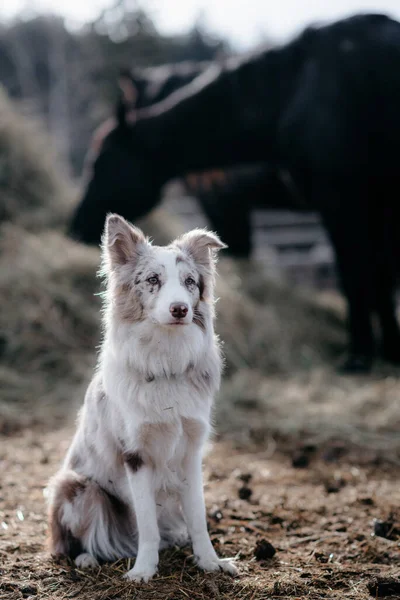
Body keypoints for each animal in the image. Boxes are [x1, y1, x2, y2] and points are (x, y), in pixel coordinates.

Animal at [46, 214, 238, 580]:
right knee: (68, 542)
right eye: (153, 280)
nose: (180, 309)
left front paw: (210, 562)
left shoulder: (191, 450)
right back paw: (87, 558)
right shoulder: (135, 454)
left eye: (190, 281)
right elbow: (147, 524)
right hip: (78, 487)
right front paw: (144, 570)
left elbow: (198, 517)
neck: (166, 360)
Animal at [69, 12, 400, 370]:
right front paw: (389, 350)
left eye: (100, 163)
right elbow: (381, 278)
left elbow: (355, 277)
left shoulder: (338, 202)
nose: (76, 228)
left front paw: (360, 355)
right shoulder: (377, 203)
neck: (295, 90)